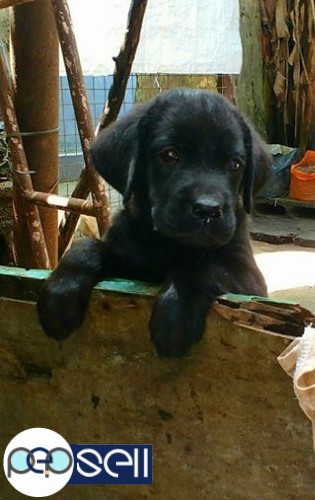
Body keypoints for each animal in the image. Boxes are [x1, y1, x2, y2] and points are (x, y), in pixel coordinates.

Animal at [37, 89, 272, 356]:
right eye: (170, 155)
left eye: (235, 164)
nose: (208, 209)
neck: (166, 244)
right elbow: (87, 246)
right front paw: (60, 294)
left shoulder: (247, 278)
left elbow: (203, 267)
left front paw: (176, 314)